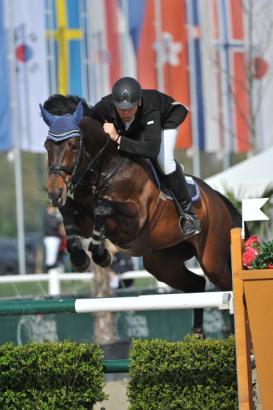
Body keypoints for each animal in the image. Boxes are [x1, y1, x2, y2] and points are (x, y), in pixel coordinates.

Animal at [40, 96, 240, 336]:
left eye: (73, 145)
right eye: (47, 146)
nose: (54, 193)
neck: (106, 169)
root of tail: (217, 198)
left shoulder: (133, 224)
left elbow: (103, 208)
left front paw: (100, 254)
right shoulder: (84, 217)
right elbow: (69, 212)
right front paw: (80, 258)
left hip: (212, 258)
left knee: (227, 286)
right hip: (162, 263)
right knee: (196, 285)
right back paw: (197, 334)